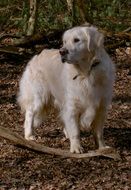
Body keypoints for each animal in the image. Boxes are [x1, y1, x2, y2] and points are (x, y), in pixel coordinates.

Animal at [17, 25, 114, 153]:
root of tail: (36, 56)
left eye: (76, 40)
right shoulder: (72, 105)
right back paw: (29, 135)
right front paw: (76, 148)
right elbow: (75, 131)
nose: (62, 51)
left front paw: (102, 148)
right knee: (29, 113)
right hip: (38, 96)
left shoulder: (101, 107)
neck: (86, 73)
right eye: (65, 41)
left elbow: (98, 132)